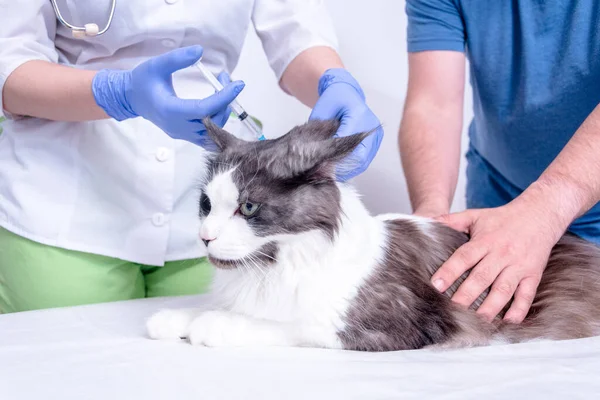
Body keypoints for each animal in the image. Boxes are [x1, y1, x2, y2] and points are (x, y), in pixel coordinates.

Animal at [145, 118, 600, 350]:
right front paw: (174, 318)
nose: (205, 236)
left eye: (249, 208)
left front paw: (213, 325)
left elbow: (287, 325)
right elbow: (199, 308)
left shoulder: (392, 326)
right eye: (206, 204)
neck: (276, 267)